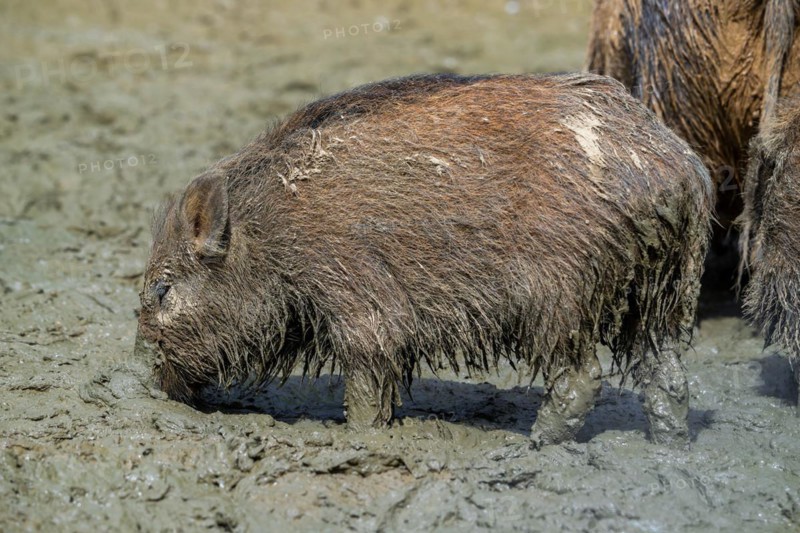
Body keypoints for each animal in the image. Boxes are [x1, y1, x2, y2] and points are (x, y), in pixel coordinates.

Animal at [134, 72, 713, 447]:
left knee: (581, 378)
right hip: (662, 292)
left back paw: (532, 445)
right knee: (668, 375)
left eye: (162, 289)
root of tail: (678, 169)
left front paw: (360, 437)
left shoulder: (359, 297)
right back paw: (670, 447)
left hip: (558, 295)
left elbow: (366, 379)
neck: (269, 234)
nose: (146, 380)